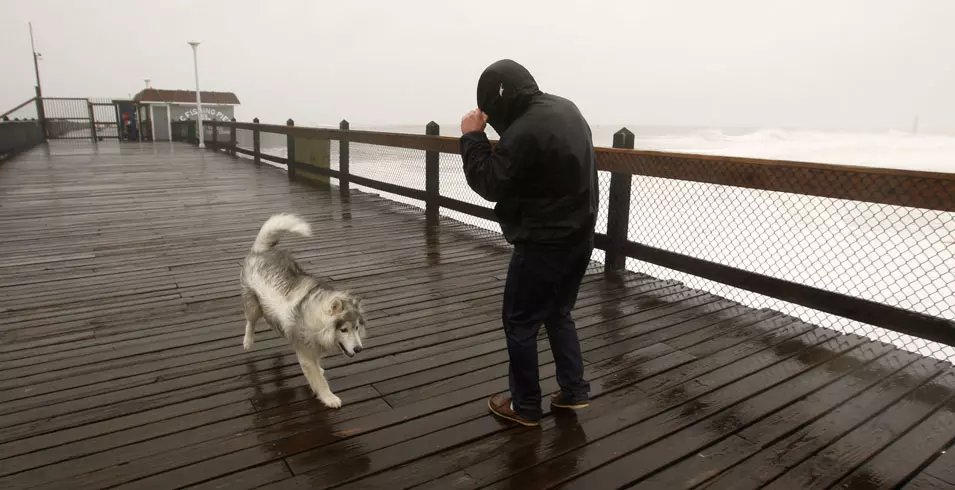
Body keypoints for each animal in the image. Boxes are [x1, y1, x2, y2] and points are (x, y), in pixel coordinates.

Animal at [241, 212, 368, 408]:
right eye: (343, 329)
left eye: (356, 328)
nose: (358, 349)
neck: (317, 318)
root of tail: (261, 251)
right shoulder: (306, 355)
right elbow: (319, 380)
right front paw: (329, 397)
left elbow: (317, 365)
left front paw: (321, 369)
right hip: (253, 305)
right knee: (250, 321)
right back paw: (248, 341)